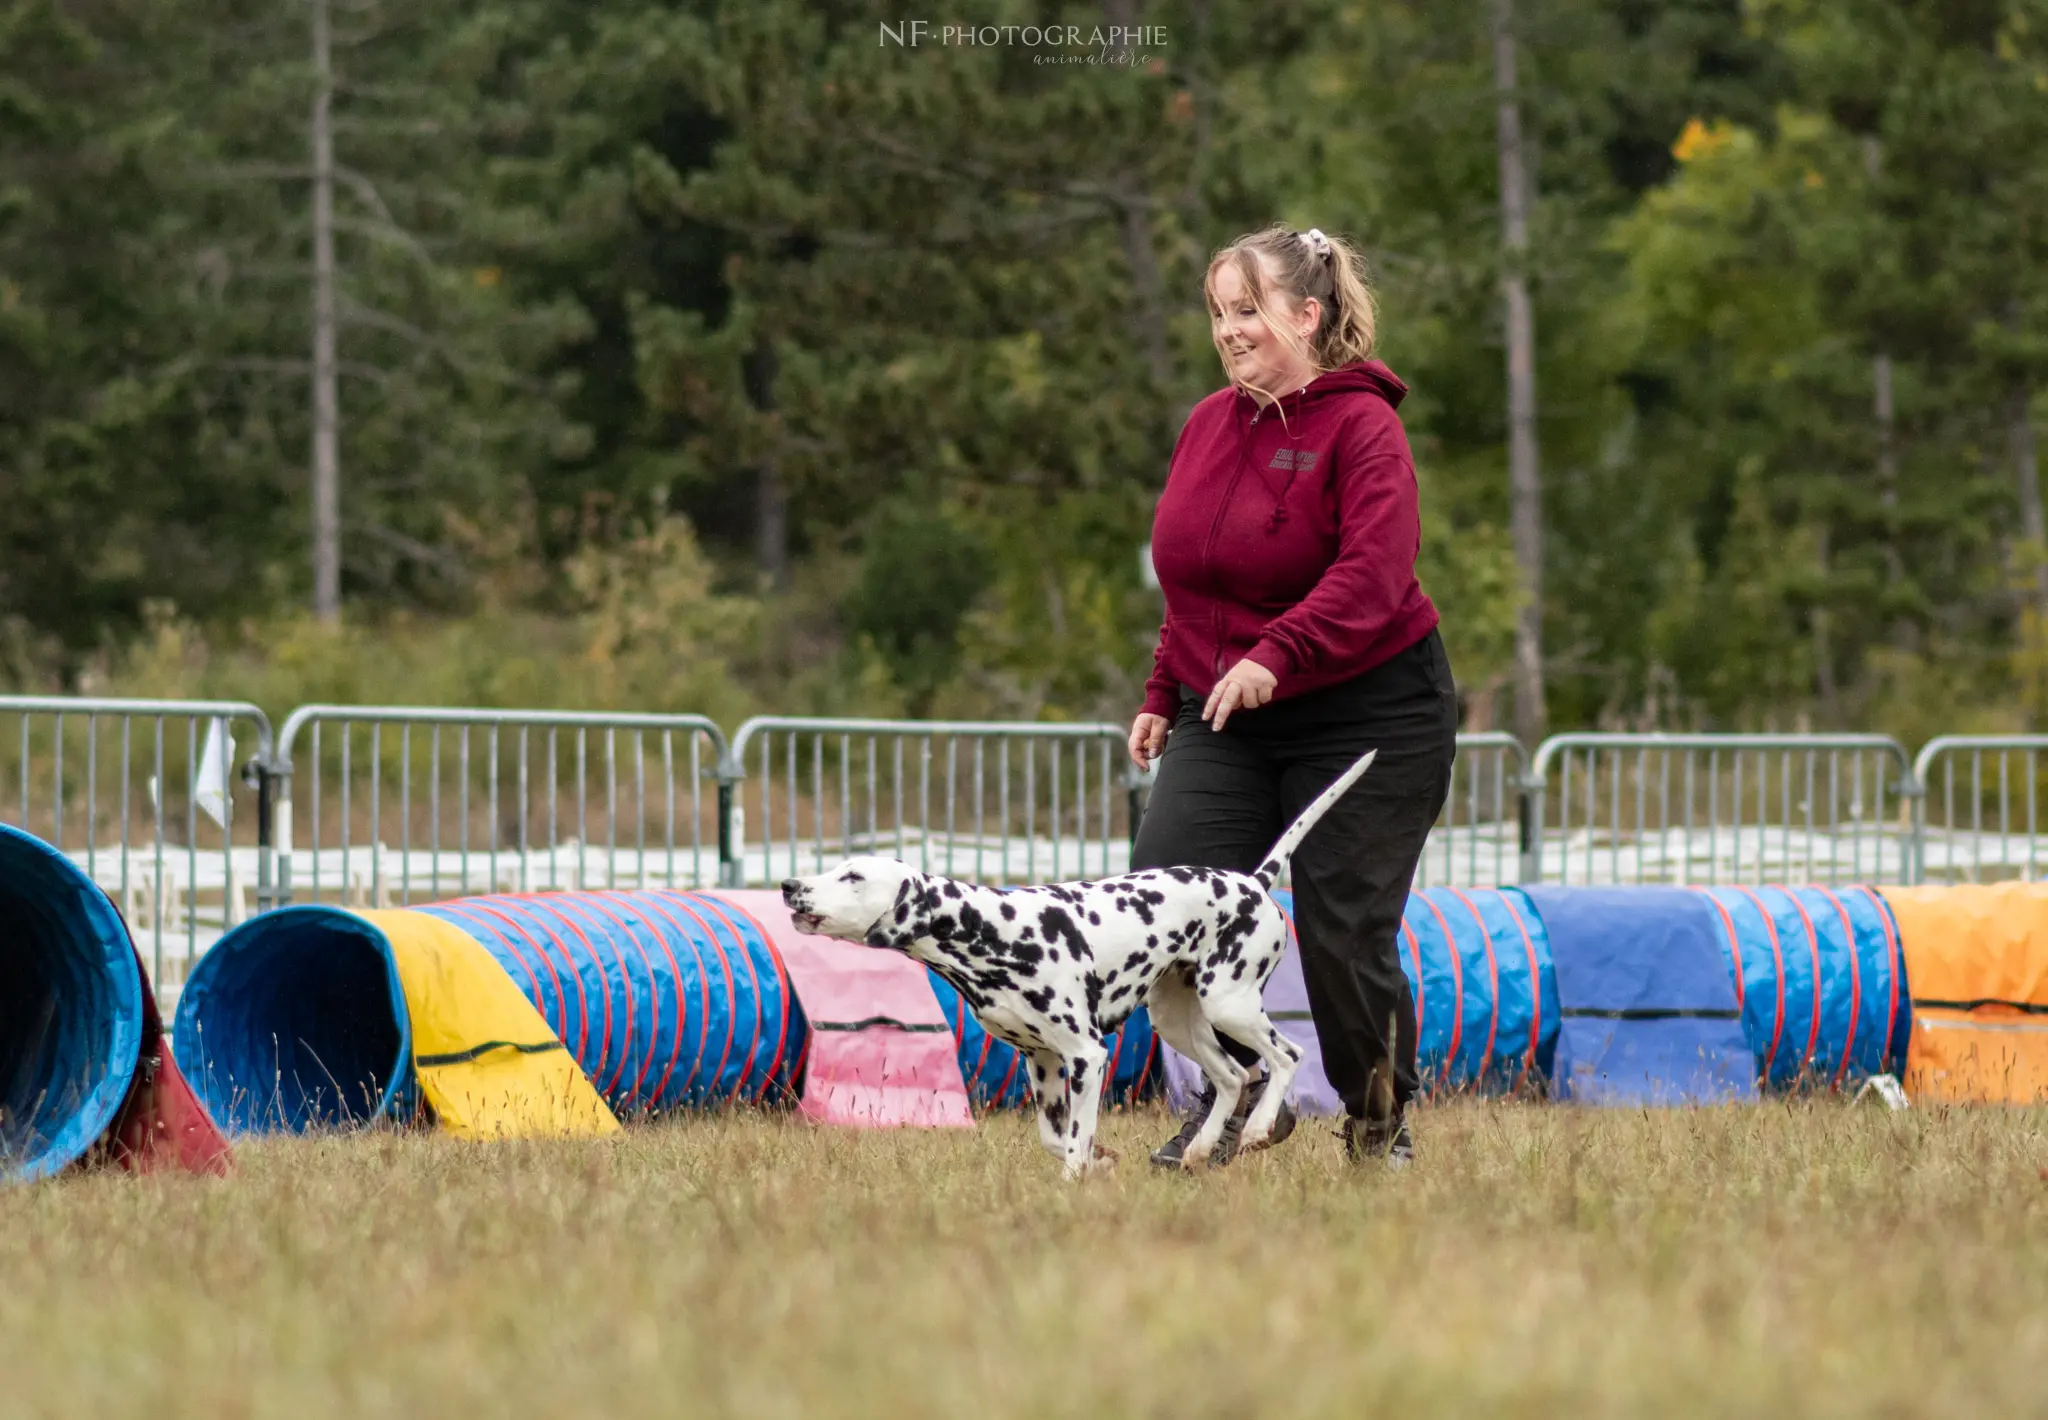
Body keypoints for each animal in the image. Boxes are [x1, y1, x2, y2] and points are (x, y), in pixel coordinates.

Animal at [778, 741, 1376, 1172]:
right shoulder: (1040, 1060)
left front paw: (1077, 1179)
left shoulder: (1087, 1056)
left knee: (1286, 1057)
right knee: (1232, 1077)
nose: (788, 886)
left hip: (1230, 1003)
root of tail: (1254, 881)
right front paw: (1098, 1160)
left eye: (852, 877)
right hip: (1177, 1018)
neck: (990, 929)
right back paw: (1201, 1149)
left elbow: (1075, 1137)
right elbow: (1055, 1136)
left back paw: (1254, 1129)